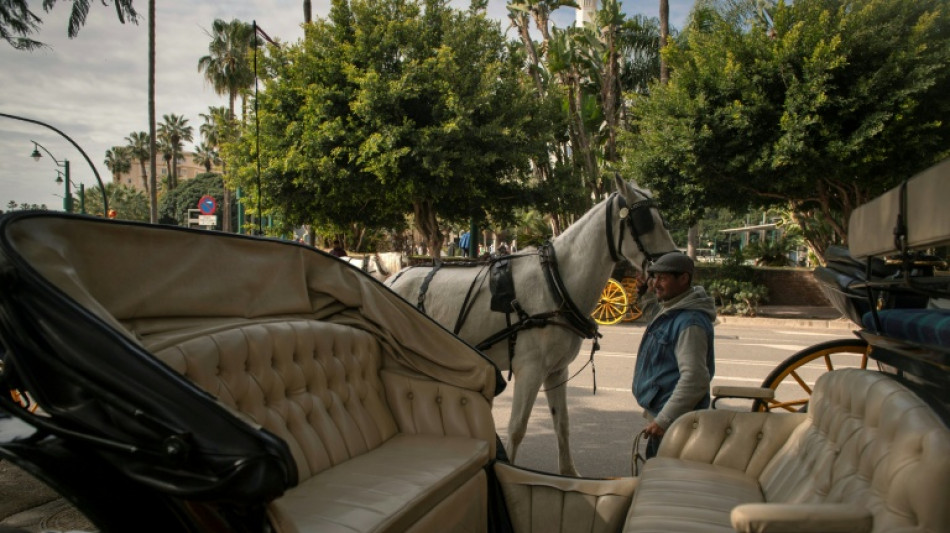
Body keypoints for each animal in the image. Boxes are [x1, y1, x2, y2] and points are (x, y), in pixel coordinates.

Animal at [384, 178, 680, 474]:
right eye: (646, 222)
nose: (674, 263)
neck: (555, 283)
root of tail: (392, 279)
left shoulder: (556, 370)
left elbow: (562, 424)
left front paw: (568, 473)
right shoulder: (530, 369)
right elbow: (517, 428)